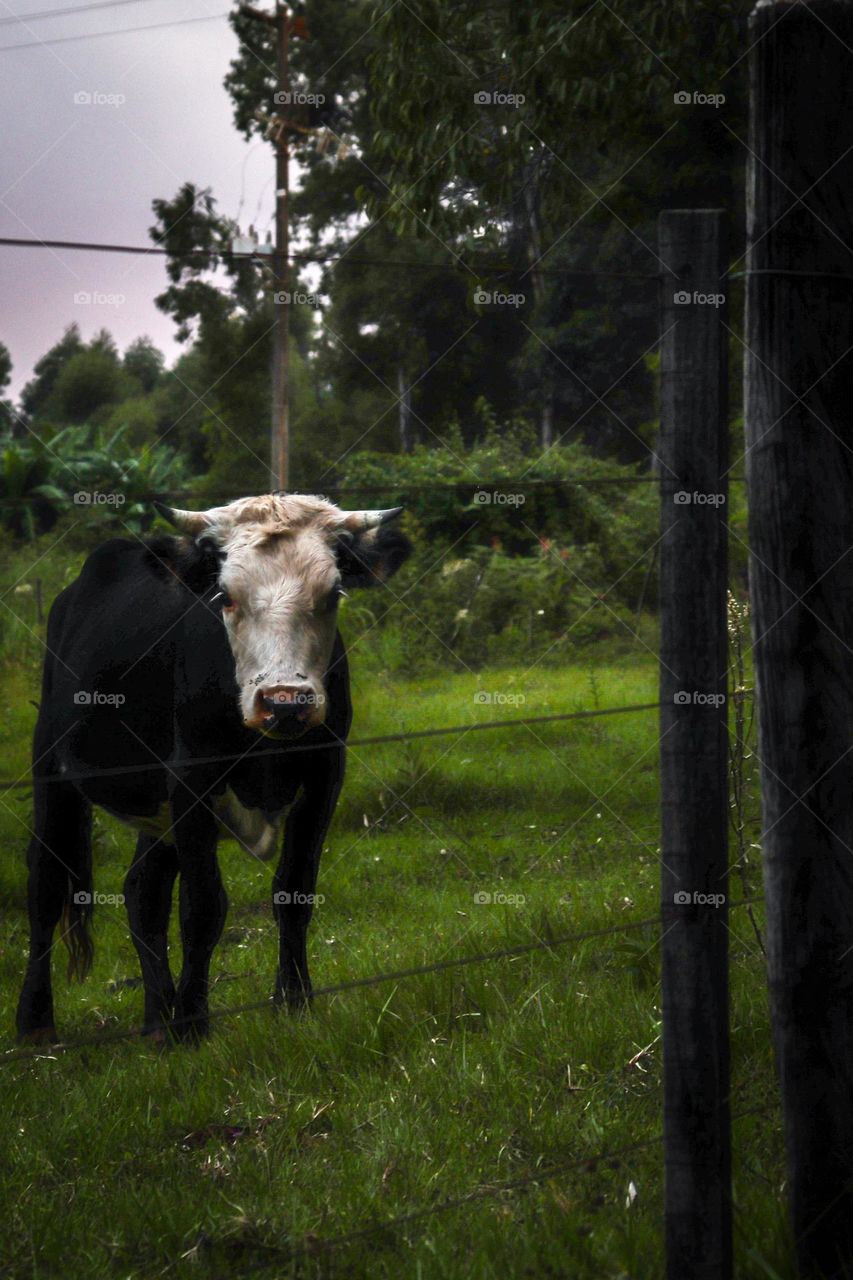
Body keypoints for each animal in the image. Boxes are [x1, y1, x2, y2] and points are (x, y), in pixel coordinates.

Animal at [15, 493, 411, 1043]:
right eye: (224, 596)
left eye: (333, 593)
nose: (285, 702)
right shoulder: (191, 780)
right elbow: (202, 906)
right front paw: (193, 1025)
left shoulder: (324, 776)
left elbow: (294, 892)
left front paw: (294, 1004)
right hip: (52, 770)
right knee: (46, 883)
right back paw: (36, 1025)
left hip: (157, 813)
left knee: (143, 891)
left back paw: (155, 1022)